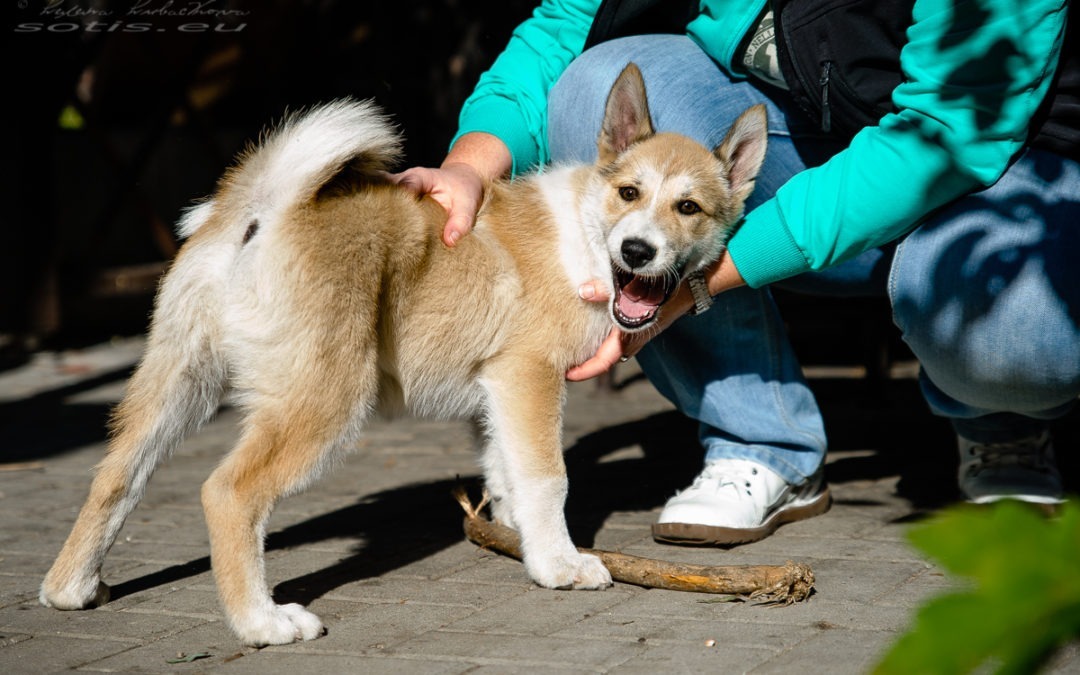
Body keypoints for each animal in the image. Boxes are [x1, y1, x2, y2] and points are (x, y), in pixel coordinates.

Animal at [42, 64, 768, 648]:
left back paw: (70, 587)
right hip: (326, 403)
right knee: (228, 492)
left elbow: (506, 471)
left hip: (175, 384)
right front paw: (561, 565)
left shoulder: (497, 392)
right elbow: (547, 477)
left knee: (115, 478)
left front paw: (522, 542)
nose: (638, 251)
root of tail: (265, 208)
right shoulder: (529, 378)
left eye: (688, 207)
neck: (587, 235)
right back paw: (262, 622)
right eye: (629, 194)